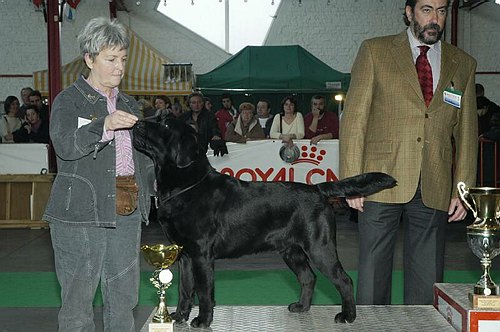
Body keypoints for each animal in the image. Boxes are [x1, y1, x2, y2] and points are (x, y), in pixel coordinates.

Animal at [132, 118, 394, 326]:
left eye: (165, 124)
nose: (137, 123)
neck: (187, 186)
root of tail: (318, 189)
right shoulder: (184, 254)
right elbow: (185, 289)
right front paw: (179, 317)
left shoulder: (201, 254)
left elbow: (205, 291)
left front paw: (203, 320)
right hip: (291, 250)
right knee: (308, 277)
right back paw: (301, 307)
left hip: (319, 247)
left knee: (343, 279)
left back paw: (348, 315)